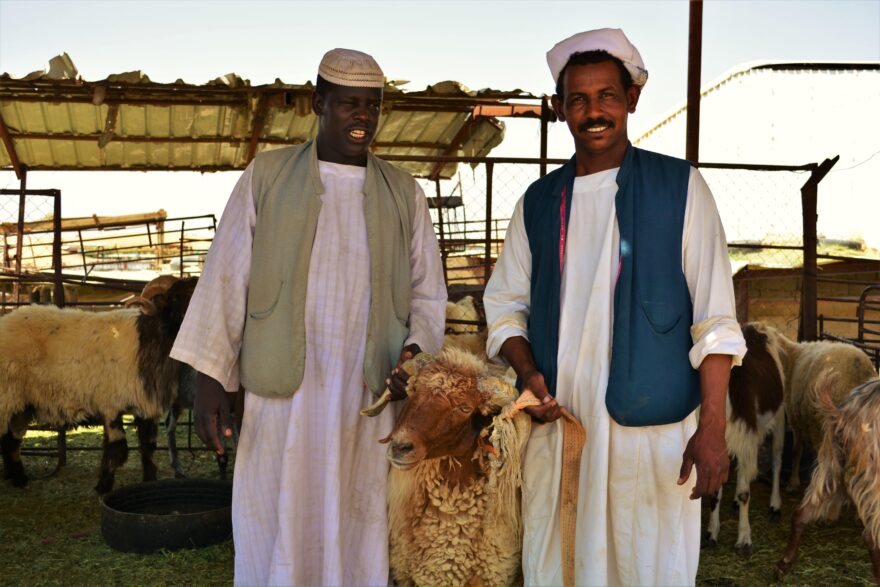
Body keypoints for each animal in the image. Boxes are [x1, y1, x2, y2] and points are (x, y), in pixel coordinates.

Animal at [0, 276, 196, 492]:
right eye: (176, 298)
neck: (146, 341)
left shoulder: (146, 408)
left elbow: (148, 447)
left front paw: (149, 481)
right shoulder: (111, 405)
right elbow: (117, 449)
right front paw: (103, 486)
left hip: (20, 406)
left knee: (10, 441)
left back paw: (18, 479)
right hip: (5, 399)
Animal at [704, 322, 788, 556]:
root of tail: (758, 327)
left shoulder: (745, 435)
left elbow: (744, 493)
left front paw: (744, 539)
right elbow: (715, 491)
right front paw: (712, 533)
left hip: (778, 417)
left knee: (777, 461)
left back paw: (775, 506)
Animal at [776, 376, 880, 584]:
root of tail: (847, 415)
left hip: (831, 470)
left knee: (801, 513)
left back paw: (784, 564)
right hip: (870, 477)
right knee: (872, 535)